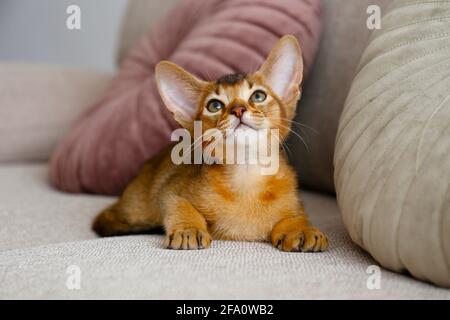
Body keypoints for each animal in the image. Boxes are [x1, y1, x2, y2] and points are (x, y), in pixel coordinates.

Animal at [93, 35, 328, 252]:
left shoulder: (296, 203)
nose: (238, 109)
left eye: (258, 96)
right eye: (214, 105)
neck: (247, 176)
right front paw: (188, 229)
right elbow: (179, 204)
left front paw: (301, 230)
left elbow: (295, 216)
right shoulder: (169, 190)